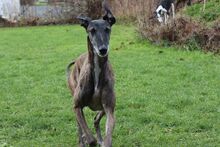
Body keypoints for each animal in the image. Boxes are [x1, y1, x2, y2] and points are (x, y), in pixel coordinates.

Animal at [66, 1, 115, 147]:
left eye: (107, 29)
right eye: (91, 30)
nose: (103, 50)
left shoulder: (109, 109)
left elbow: (108, 139)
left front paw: (101, 140)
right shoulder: (77, 106)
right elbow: (90, 138)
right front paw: (88, 140)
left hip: (102, 108)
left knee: (95, 119)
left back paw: (99, 138)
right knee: (80, 127)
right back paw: (81, 141)